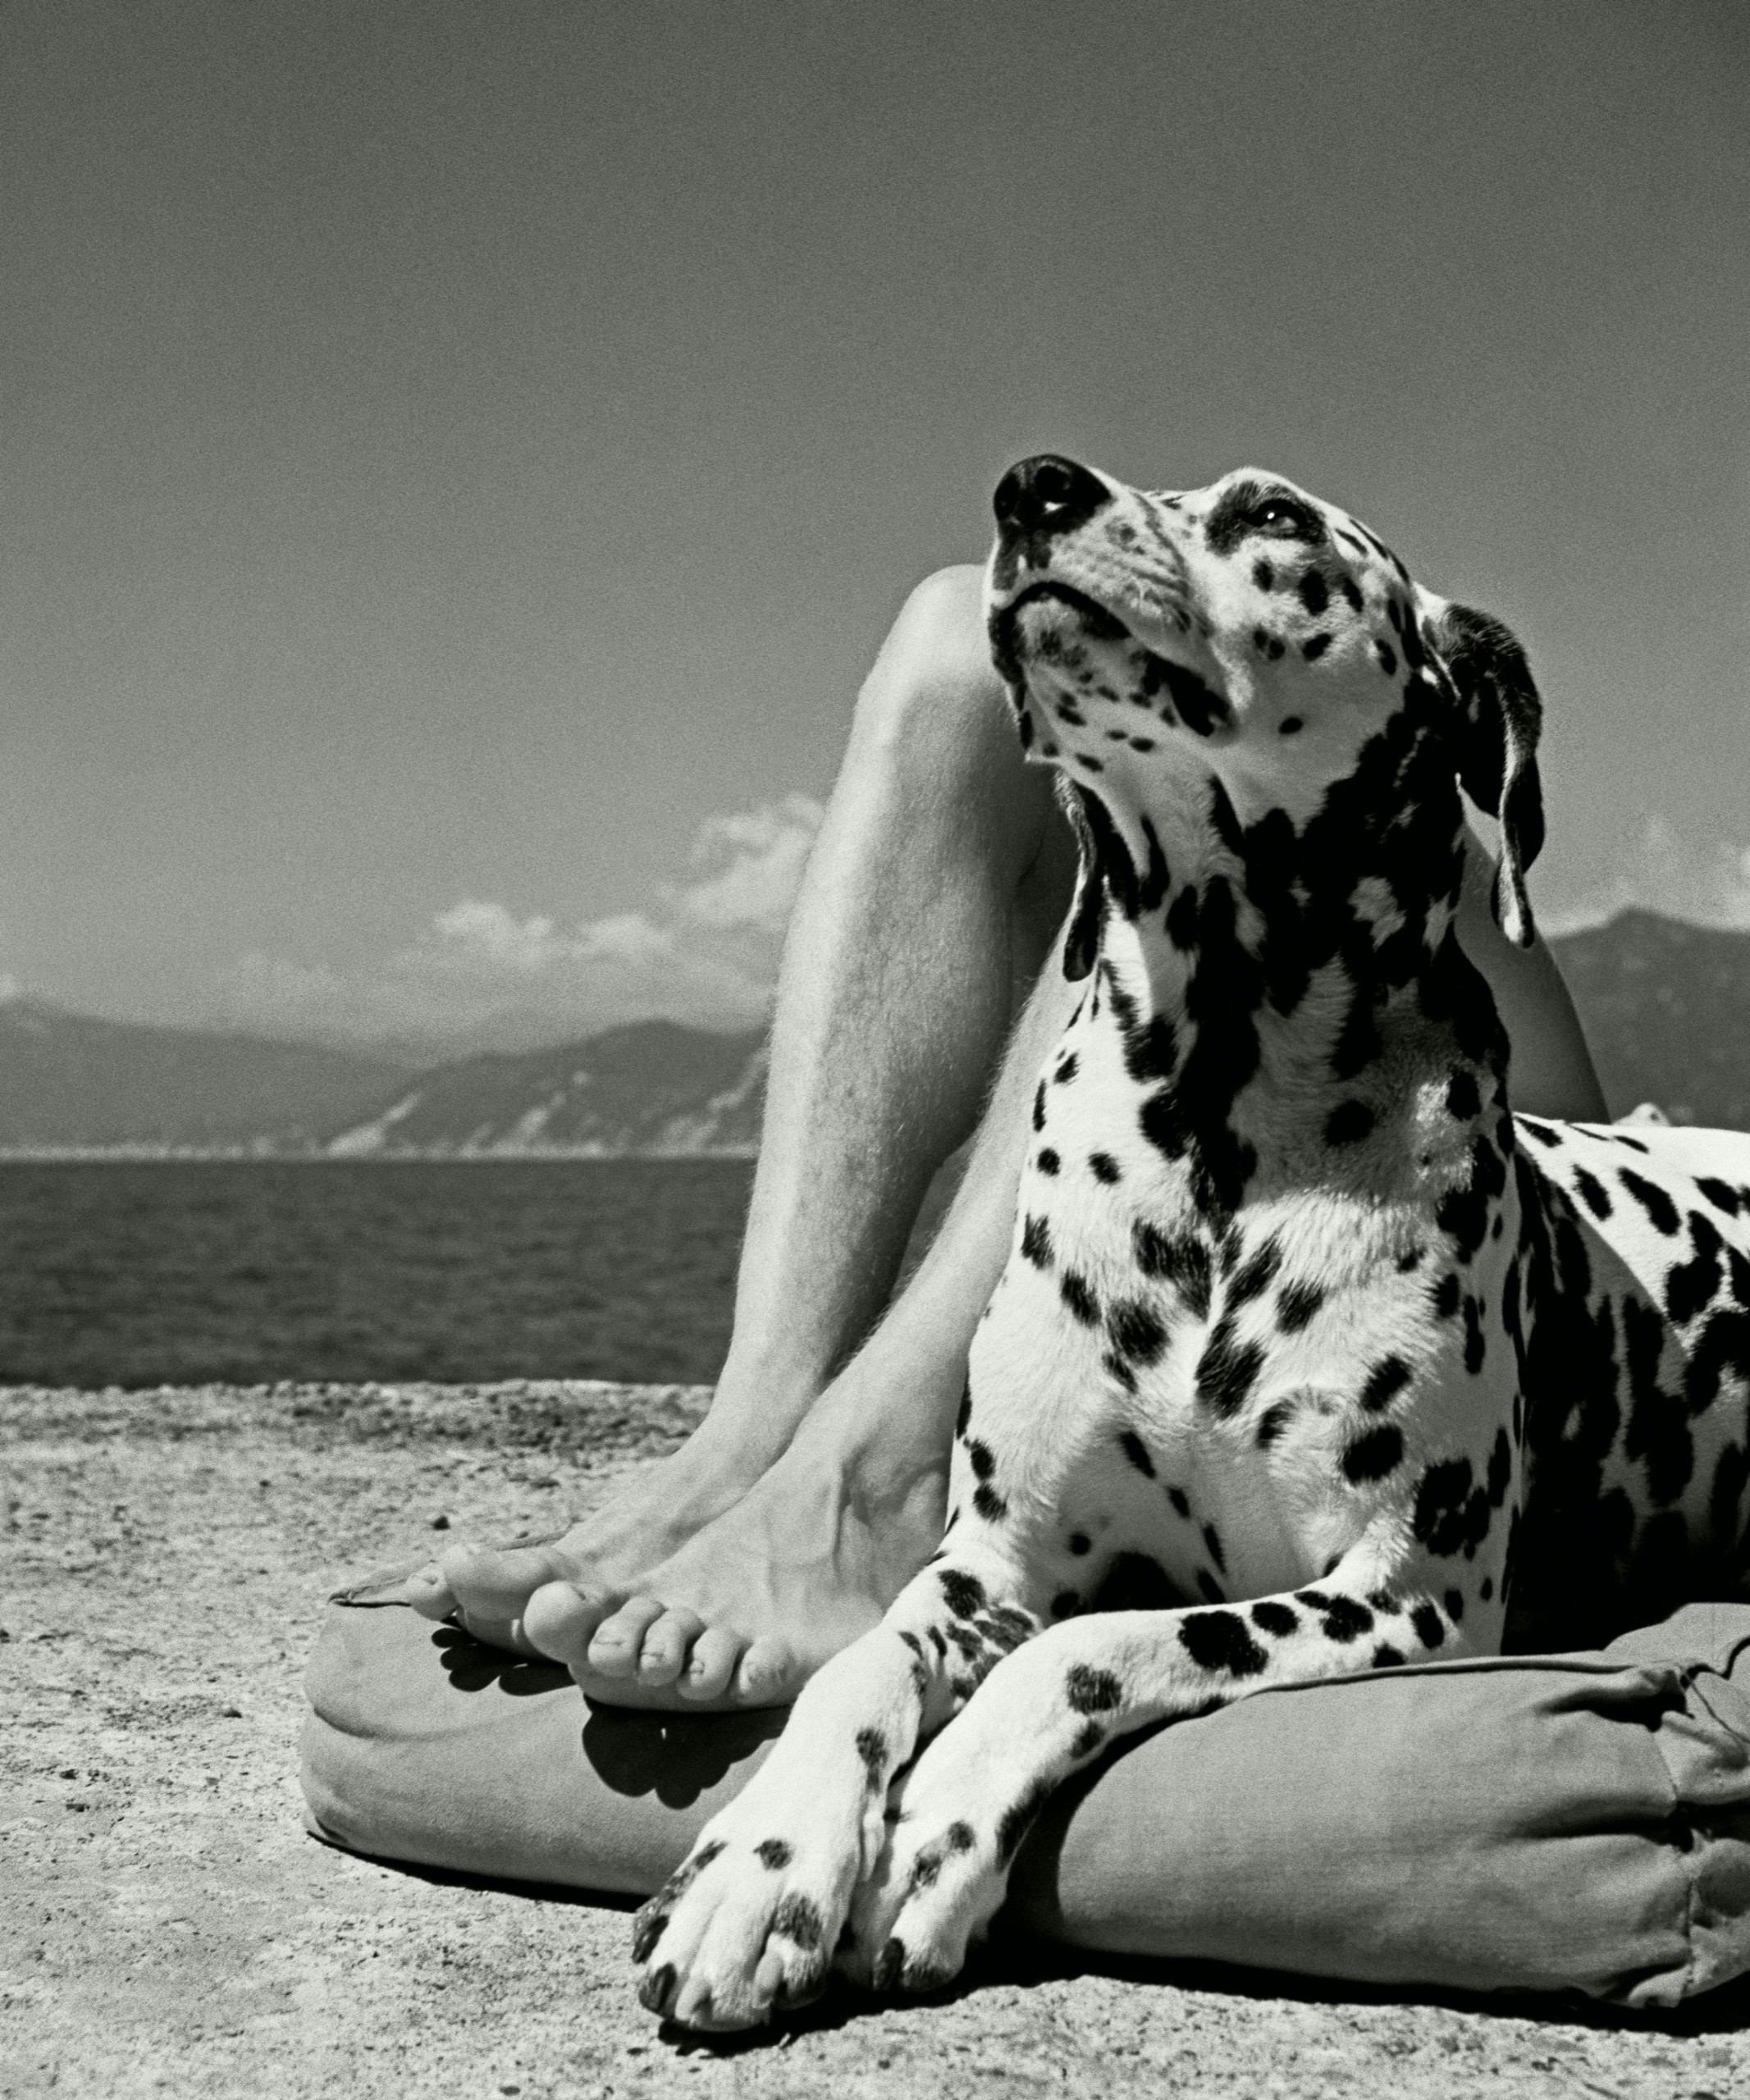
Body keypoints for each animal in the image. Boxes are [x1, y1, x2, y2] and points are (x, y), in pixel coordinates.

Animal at [629, 454, 1750, 2031]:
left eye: (1272, 515)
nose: (1031, 486)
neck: (1216, 1100)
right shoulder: (989, 1564)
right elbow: (858, 1663)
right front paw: (763, 1861)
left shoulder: (1400, 1599)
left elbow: (1093, 1648)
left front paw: (932, 1835)